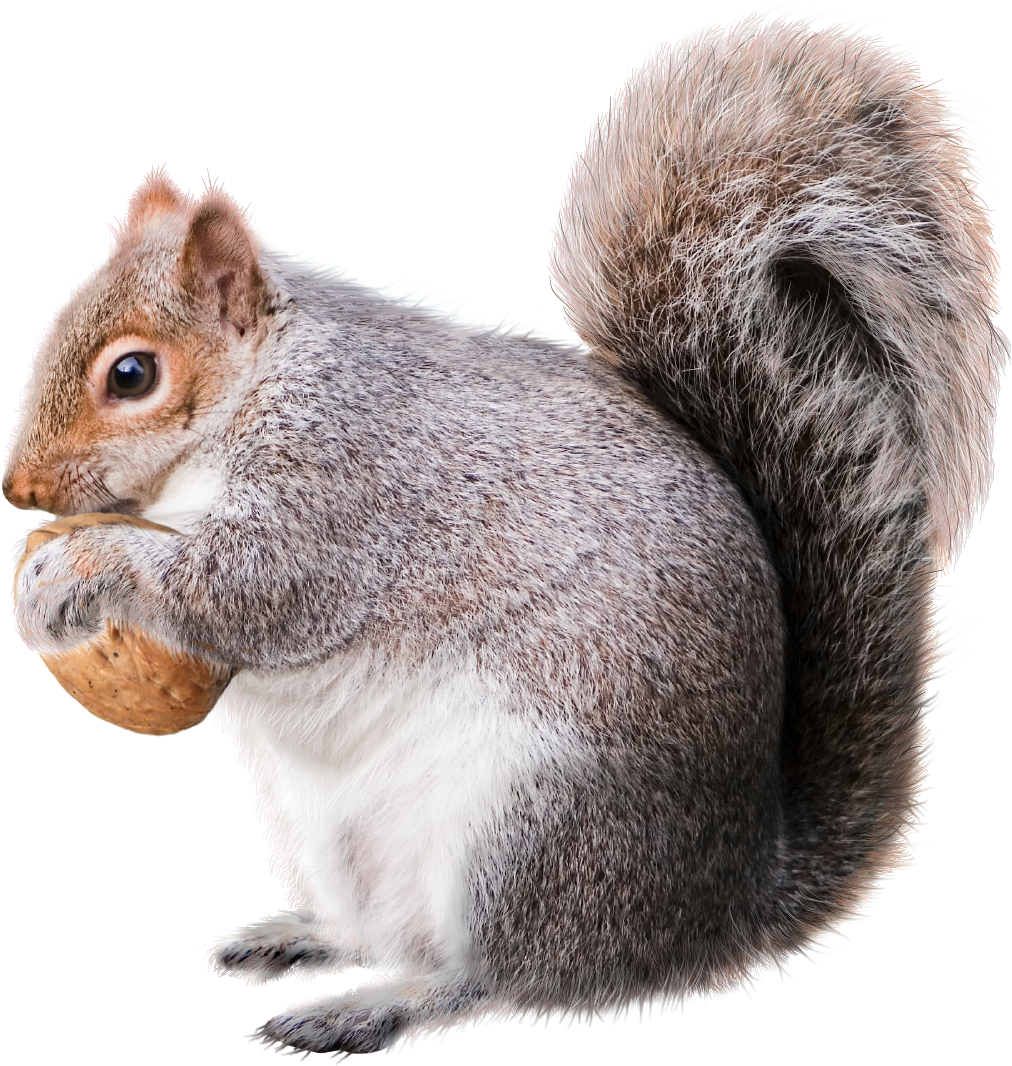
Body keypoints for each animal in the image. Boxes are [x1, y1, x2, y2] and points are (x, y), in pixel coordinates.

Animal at [3, 6, 1005, 1060]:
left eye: (132, 375)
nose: (18, 487)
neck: (257, 387)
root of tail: (722, 908)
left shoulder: (343, 480)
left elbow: (252, 590)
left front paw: (78, 566)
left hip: (530, 830)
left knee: (506, 978)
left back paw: (376, 1008)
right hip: (328, 831)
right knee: (379, 929)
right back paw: (303, 937)